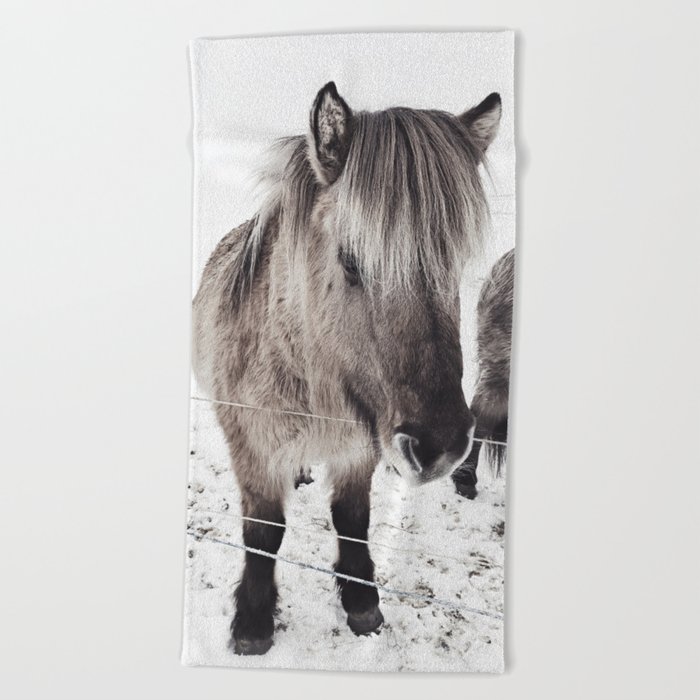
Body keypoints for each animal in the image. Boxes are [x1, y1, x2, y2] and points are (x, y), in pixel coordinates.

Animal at [192, 81, 502, 655]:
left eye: (454, 262)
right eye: (352, 260)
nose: (442, 444)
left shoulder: (360, 448)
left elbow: (352, 519)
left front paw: (361, 601)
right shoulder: (253, 450)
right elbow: (264, 532)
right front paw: (253, 622)